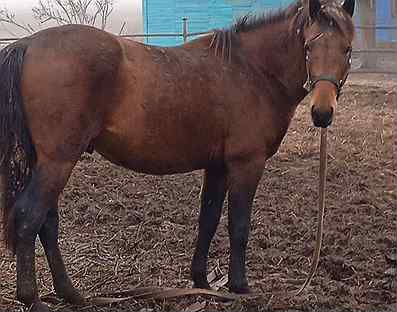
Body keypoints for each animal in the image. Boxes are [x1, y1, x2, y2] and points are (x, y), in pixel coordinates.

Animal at [0, 1, 352, 310]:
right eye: (309, 47)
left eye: (346, 49)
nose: (323, 113)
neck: (251, 71)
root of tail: (29, 44)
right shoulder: (246, 164)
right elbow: (239, 225)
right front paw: (239, 287)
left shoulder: (217, 166)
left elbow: (208, 219)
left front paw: (202, 282)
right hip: (58, 162)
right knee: (29, 217)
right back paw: (32, 299)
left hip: (48, 163)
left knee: (47, 224)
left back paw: (70, 294)